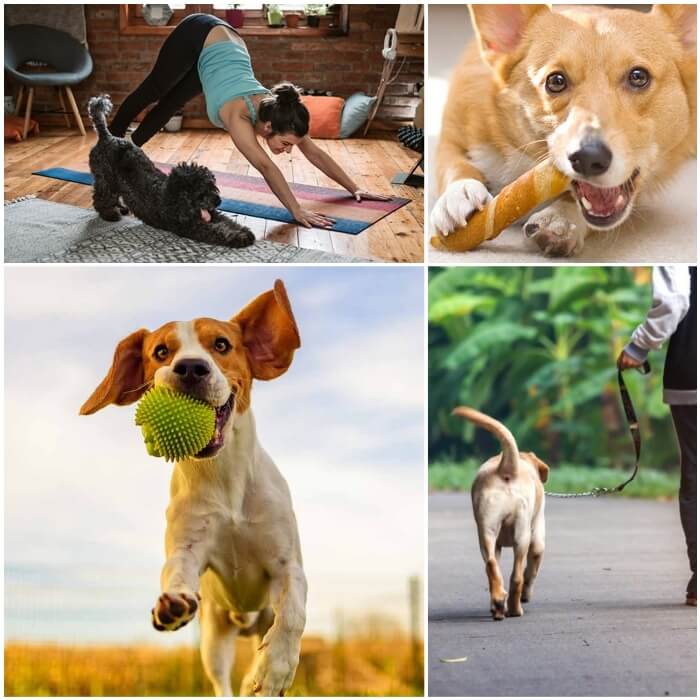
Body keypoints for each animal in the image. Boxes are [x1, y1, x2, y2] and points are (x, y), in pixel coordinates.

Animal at [80, 282, 304, 696]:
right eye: (161, 352)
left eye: (221, 344)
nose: (190, 367)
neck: (224, 478)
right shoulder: (188, 547)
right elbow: (176, 571)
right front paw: (172, 604)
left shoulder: (288, 565)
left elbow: (294, 612)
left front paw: (274, 669)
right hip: (214, 639)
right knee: (221, 682)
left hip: (261, 618)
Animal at [85, 94, 254, 249]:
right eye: (201, 192)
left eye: (212, 185)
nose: (218, 201)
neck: (173, 196)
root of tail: (106, 137)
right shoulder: (191, 226)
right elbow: (217, 231)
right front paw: (238, 237)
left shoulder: (211, 214)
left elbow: (227, 221)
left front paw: (244, 231)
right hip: (105, 179)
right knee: (100, 198)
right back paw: (110, 214)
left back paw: (121, 208)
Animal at [434, 5, 696, 258]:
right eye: (556, 81)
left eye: (638, 76)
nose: (589, 159)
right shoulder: (450, 135)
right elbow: (453, 164)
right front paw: (459, 194)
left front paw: (560, 217)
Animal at [456, 408, 548, 620]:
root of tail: (506, 467)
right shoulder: (537, 538)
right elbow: (532, 568)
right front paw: (526, 596)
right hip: (522, 535)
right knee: (517, 577)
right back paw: (515, 609)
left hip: (487, 531)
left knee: (491, 564)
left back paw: (498, 605)